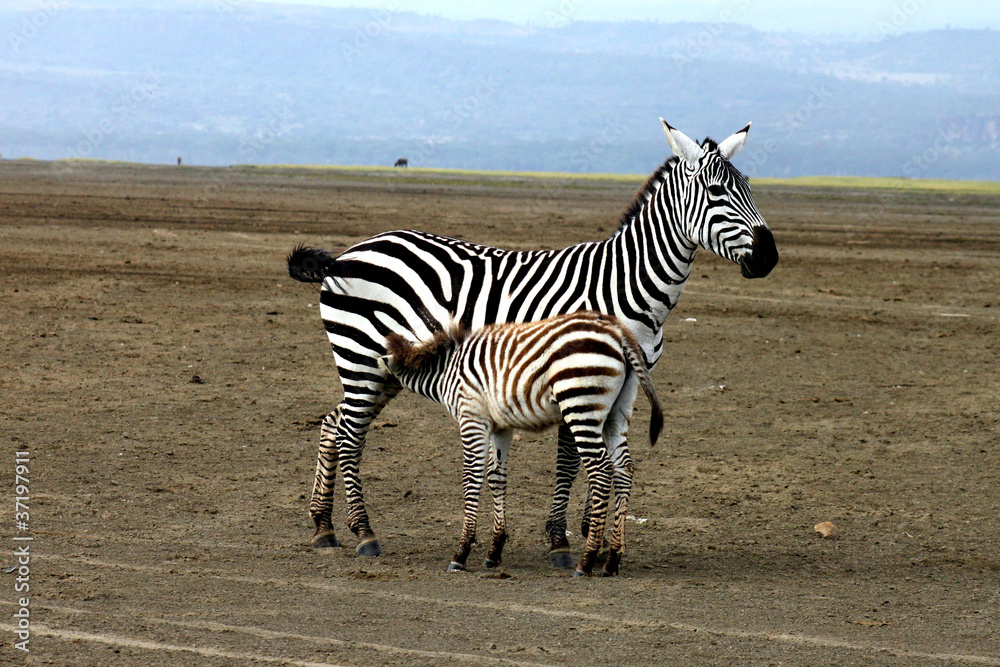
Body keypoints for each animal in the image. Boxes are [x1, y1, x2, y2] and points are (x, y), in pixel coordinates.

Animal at [379, 311, 663, 576]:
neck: (445, 370)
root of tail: (619, 332)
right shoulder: (500, 426)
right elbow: (496, 477)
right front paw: (494, 550)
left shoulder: (471, 417)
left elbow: (472, 477)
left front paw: (461, 552)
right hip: (617, 412)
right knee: (624, 470)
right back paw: (612, 559)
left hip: (581, 404)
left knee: (601, 470)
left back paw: (586, 561)